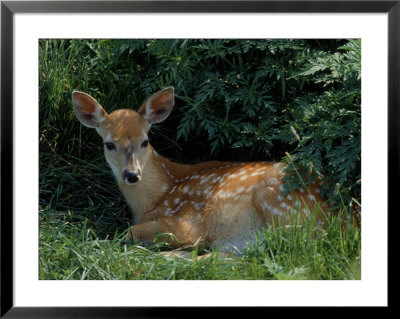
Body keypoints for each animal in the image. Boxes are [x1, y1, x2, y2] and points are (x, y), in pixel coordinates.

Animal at [72, 87, 328, 255]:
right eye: (109, 144)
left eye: (145, 141)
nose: (132, 174)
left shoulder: (189, 221)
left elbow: (130, 232)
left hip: (275, 203)